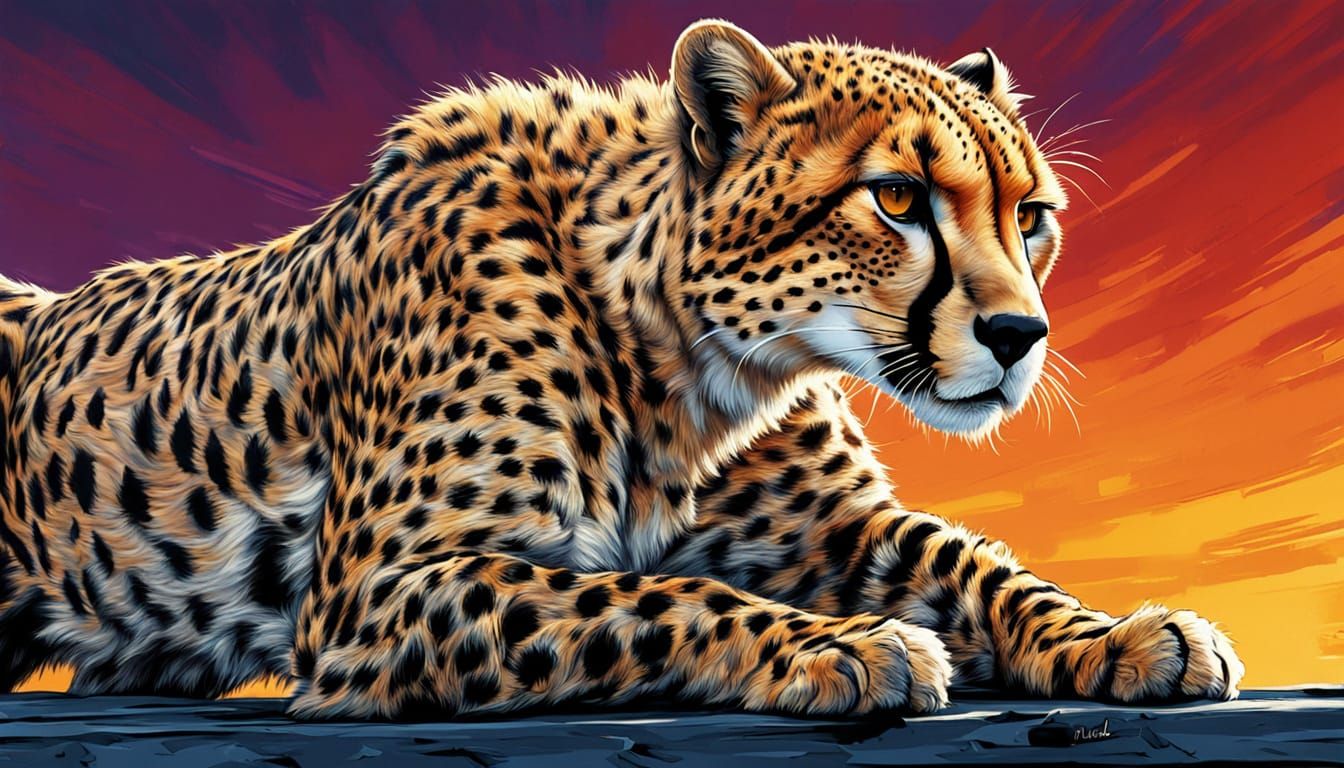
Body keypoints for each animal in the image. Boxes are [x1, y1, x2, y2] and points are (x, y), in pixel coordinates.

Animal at [0, 20, 1243, 719]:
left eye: (1032, 216)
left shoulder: (839, 532)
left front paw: (1122, 637)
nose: (1020, 335)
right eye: (896, 198)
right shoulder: (373, 592)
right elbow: (646, 595)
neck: (696, 362)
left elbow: (980, 566)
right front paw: (840, 646)